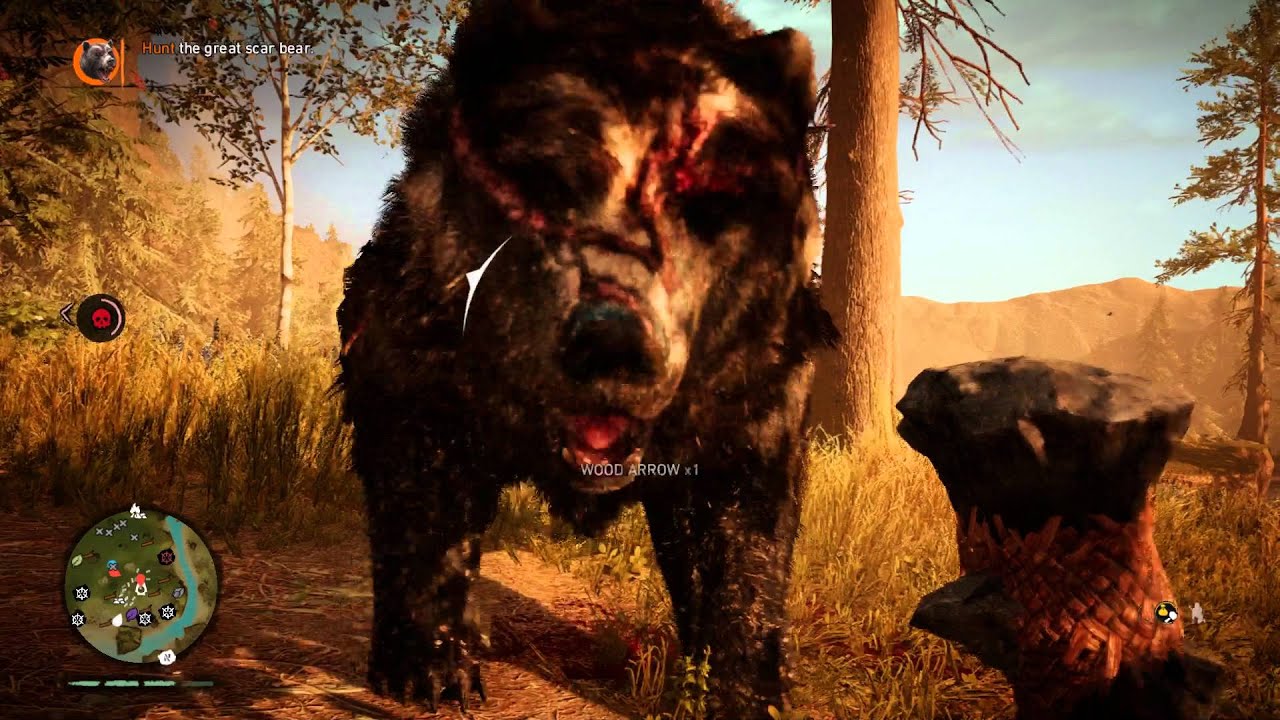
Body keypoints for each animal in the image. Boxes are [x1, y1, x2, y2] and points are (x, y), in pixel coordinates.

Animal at [337, 1, 837, 717]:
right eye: (544, 185)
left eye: (710, 198)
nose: (613, 339)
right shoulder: (417, 356)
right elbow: (423, 506)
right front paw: (430, 668)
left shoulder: (752, 406)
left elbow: (743, 549)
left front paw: (744, 691)